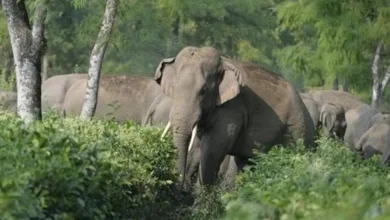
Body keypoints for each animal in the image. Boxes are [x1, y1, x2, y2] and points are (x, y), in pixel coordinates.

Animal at [155, 45, 316, 188]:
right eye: (174, 88)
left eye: (204, 91)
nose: (178, 187)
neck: (223, 62)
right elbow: (197, 148)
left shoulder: (232, 109)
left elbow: (212, 151)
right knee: (244, 164)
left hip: (298, 131)